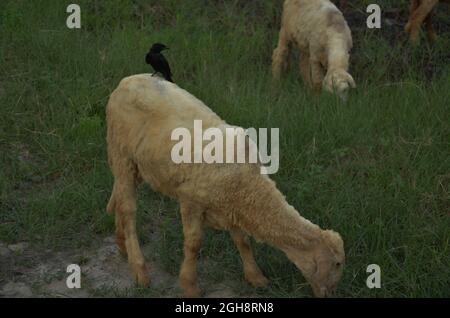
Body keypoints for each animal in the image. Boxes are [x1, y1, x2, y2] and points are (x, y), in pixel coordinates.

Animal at [105, 74, 344, 298]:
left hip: (137, 164)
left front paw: (256, 277)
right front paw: (190, 286)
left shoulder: (232, 207)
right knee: (128, 210)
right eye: (337, 264)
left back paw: (121, 242)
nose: (331, 294)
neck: (250, 189)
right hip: (121, 152)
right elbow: (194, 244)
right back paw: (139, 270)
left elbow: (243, 241)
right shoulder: (191, 201)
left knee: (119, 194)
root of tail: (128, 80)